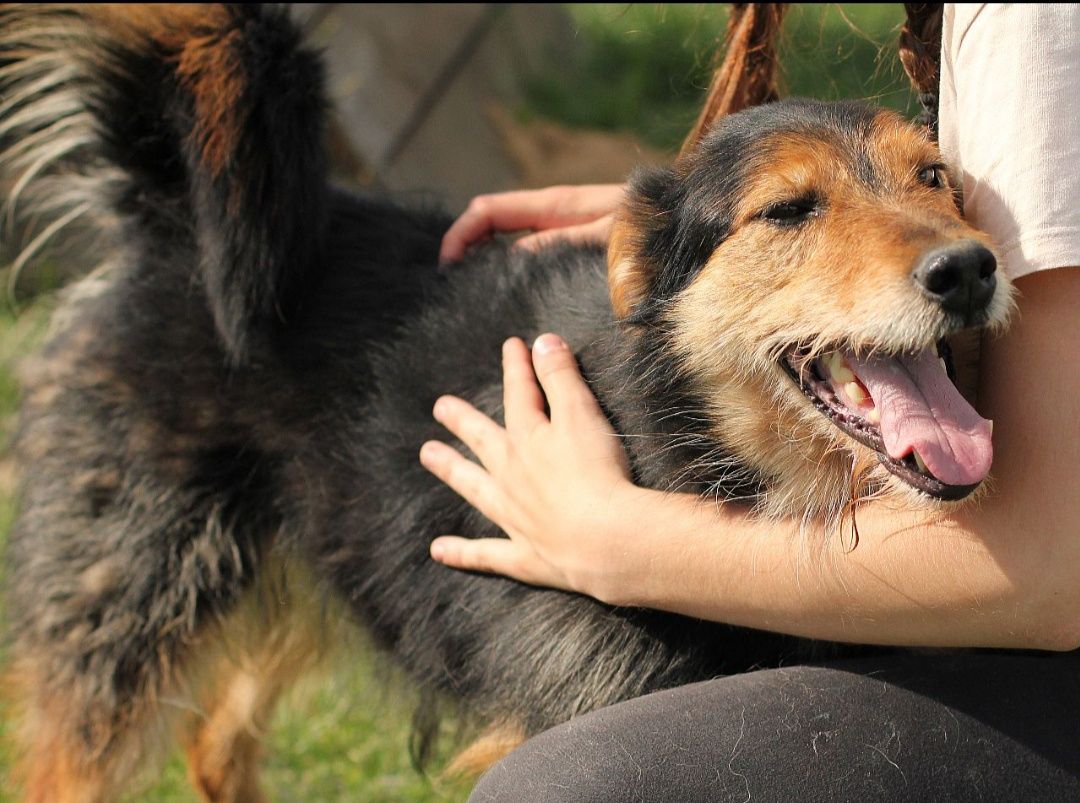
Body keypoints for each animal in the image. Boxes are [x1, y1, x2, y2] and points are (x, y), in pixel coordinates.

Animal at [2, 6, 1010, 803]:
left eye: (934, 177)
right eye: (790, 209)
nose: (969, 269)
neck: (672, 442)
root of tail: (165, 217)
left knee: (215, 744)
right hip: (125, 601)